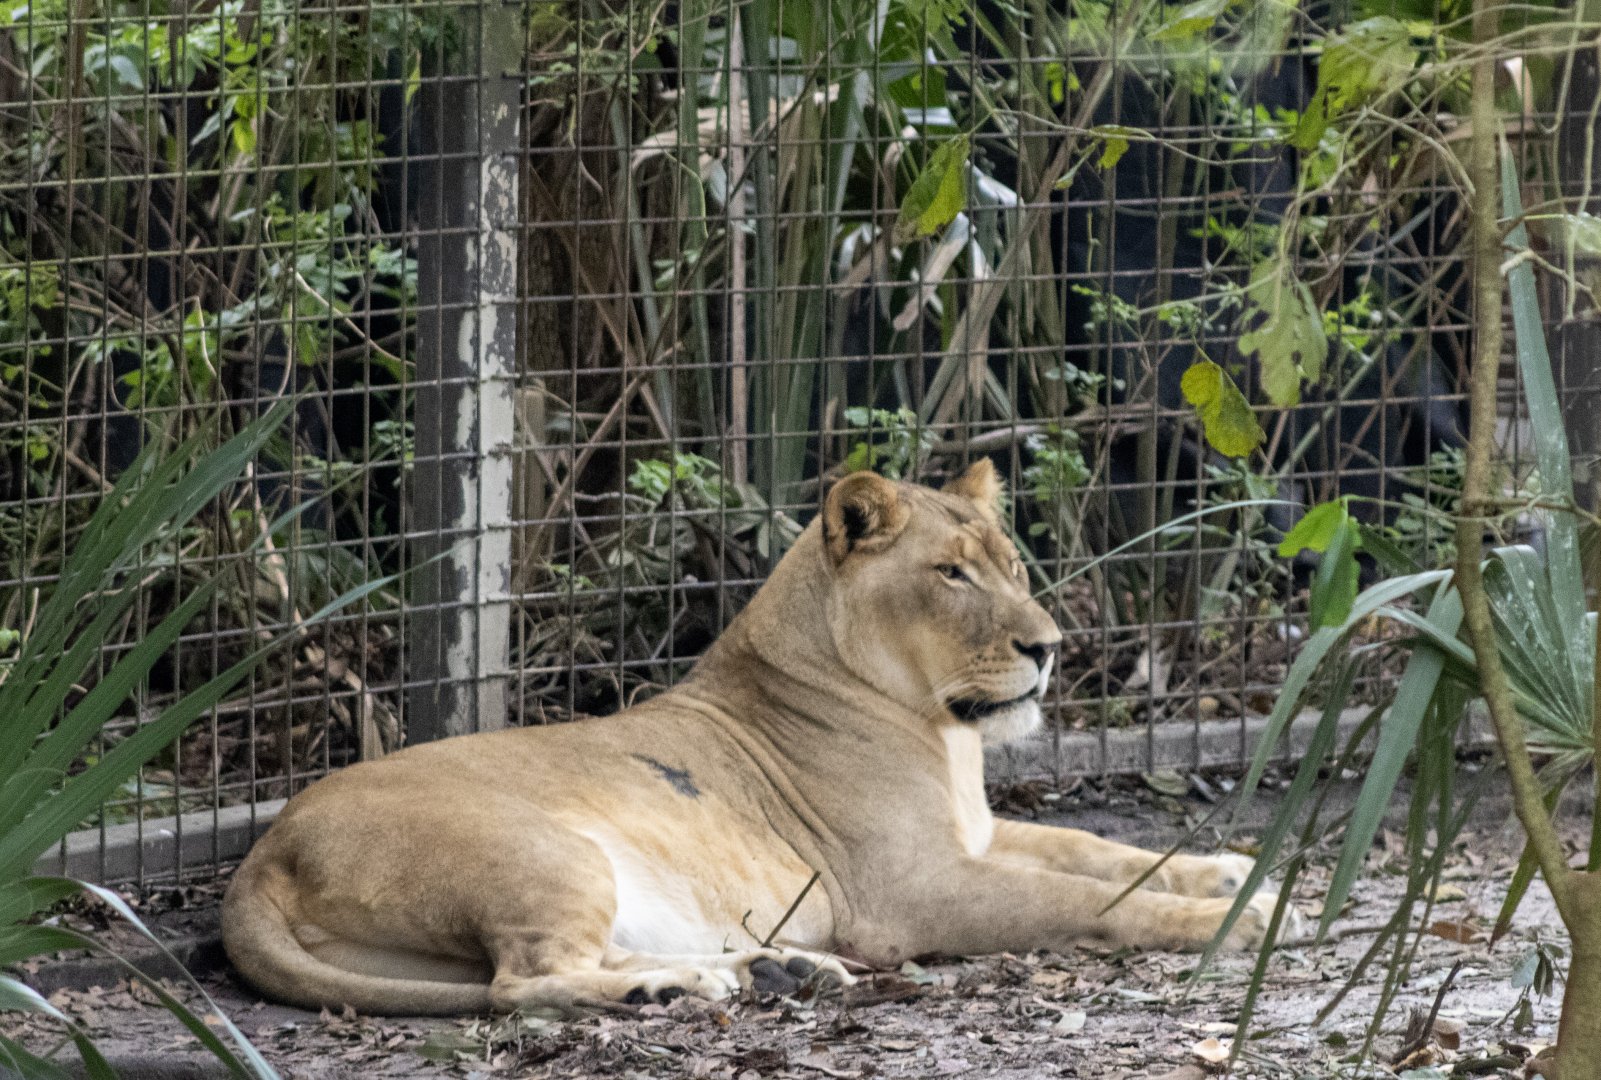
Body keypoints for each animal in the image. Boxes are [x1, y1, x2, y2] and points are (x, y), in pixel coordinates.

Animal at [222, 461, 1304, 1016]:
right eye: (951, 574)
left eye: (1010, 563)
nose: (1047, 647)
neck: (939, 733)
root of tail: (261, 856)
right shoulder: (909, 893)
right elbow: (1096, 899)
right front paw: (1248, 917)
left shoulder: (977, 835)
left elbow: (1102, 849)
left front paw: (1229, 868)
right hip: (544, 852)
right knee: (525, 982)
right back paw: (683, 985)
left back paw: (773, 970)